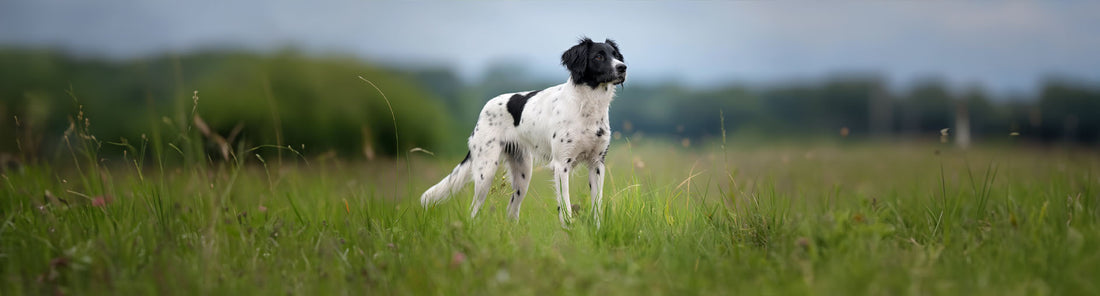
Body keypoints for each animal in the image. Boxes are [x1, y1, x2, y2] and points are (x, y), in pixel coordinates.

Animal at [420, 37, 629, 226]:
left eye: (615, 55)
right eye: (598, 56)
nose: (623, 67)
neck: (587, 106)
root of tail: (483, 111)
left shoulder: (597, 164)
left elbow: (597, 206)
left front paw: (596, 230)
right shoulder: (562, 164)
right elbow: (565, 206)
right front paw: (569, 231)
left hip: (523, 174)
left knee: (511, 211)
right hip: (486, 171)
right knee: (473, 210)